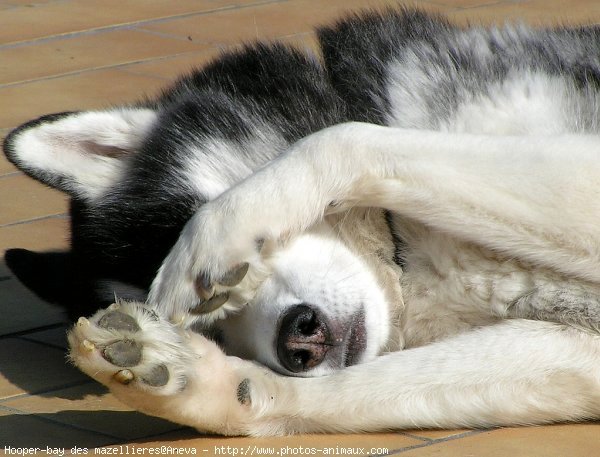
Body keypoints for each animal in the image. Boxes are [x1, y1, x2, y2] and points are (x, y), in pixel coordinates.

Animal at [3, 8, 600, 434]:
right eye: (210, 330)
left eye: (220, 294)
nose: (300, 342)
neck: (407, 255)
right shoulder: (577, 350)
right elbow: (345, 390)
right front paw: (208, 385)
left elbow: (344, 138)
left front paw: (213, 236)